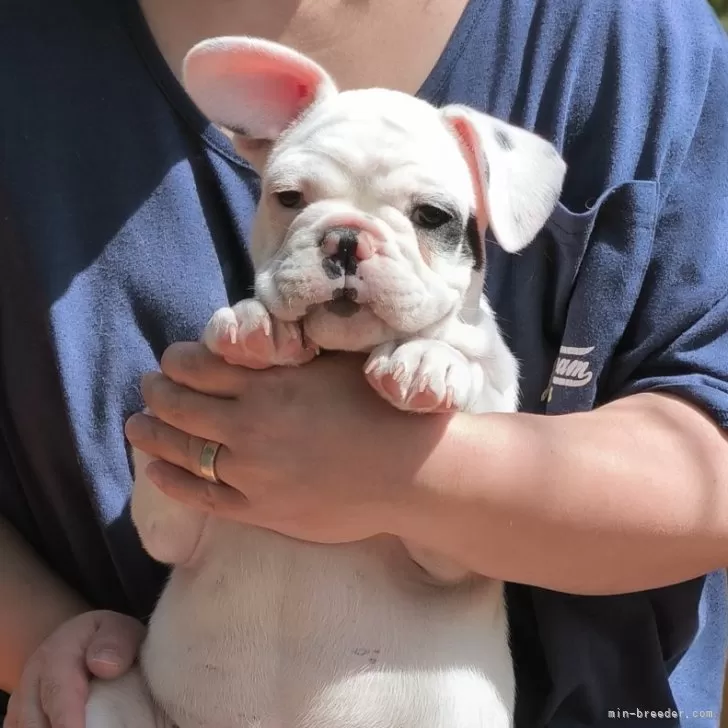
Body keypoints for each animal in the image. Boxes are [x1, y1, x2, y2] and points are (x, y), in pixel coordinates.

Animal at [84, 38, 564, 728]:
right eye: (288, 197)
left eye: (432, 216)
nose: (344, 236)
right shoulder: (168, 525)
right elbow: (161, 482)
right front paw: (253, 325)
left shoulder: (453, 554)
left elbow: (467, 368)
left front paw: (431, 361)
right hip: (112, 696)